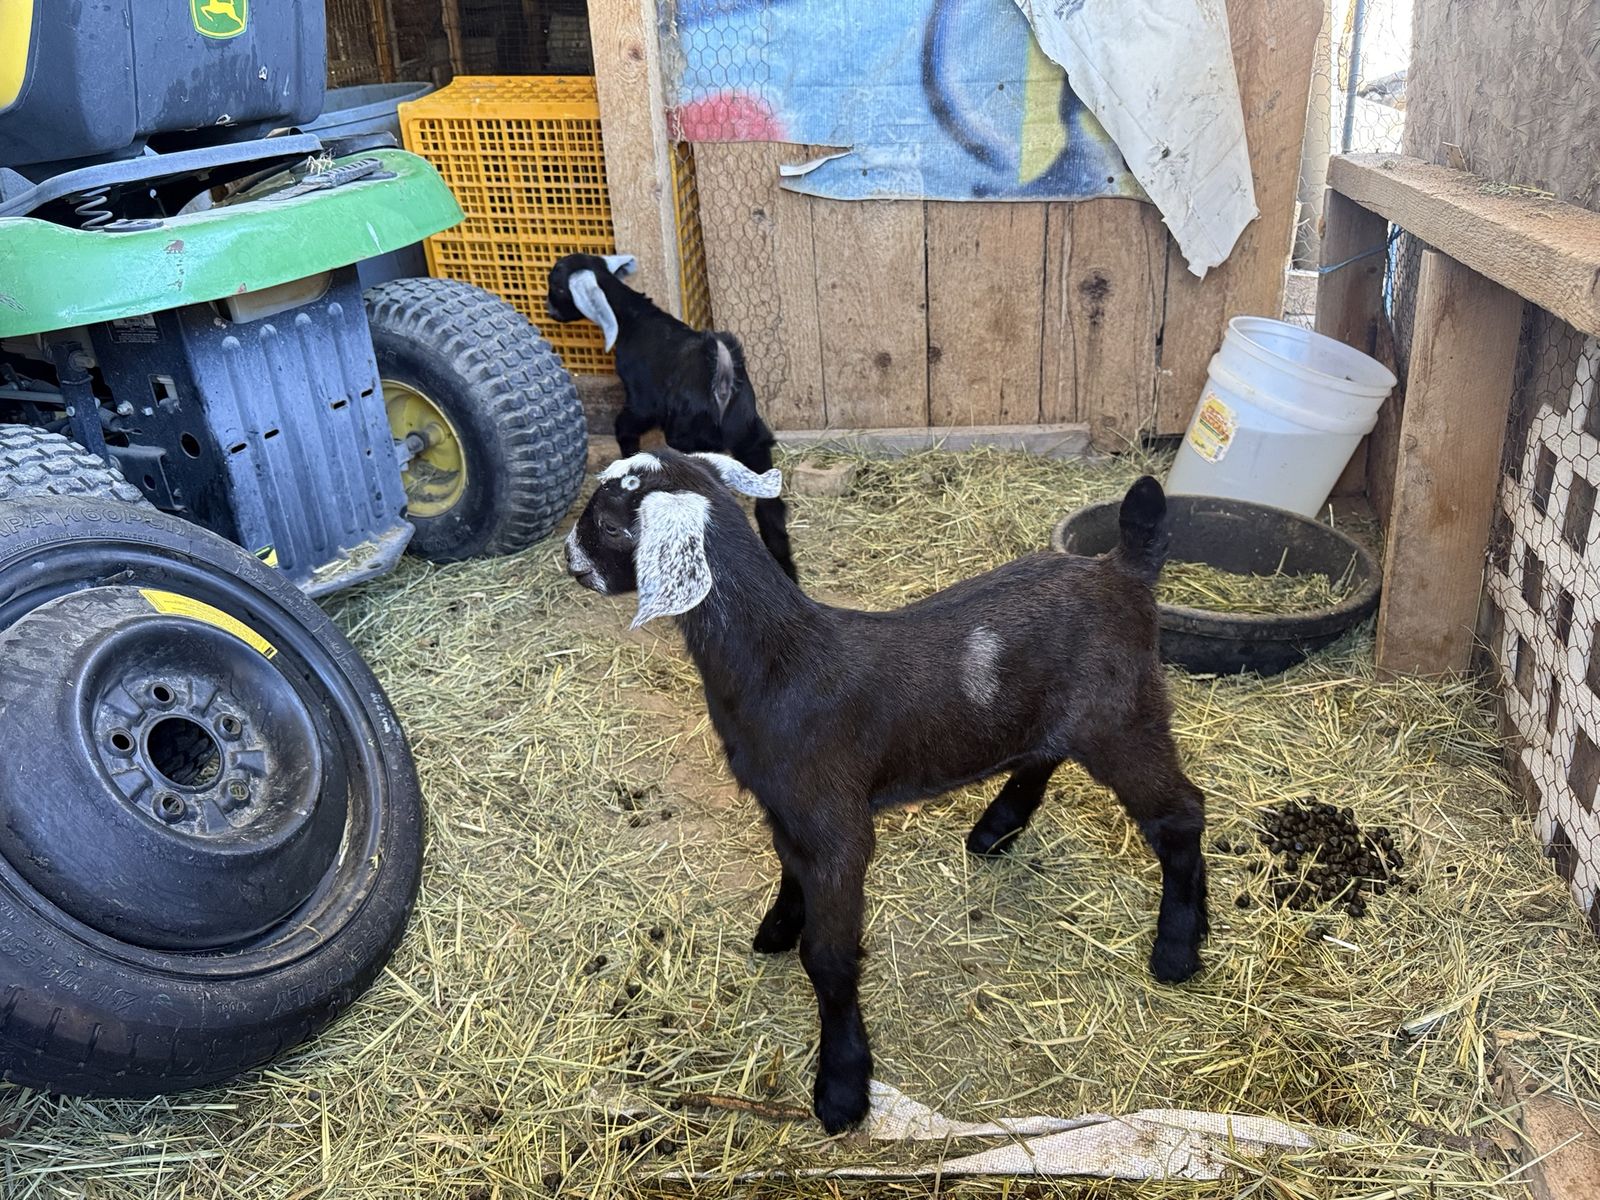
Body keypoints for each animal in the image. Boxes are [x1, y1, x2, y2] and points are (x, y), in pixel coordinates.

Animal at [544, 253, 797, 581]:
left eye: (558, 286)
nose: (548, 310)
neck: (633, 319)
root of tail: (723, 377)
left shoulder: (642, 401)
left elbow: (623, 426)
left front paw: (627, 459)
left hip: (688, 434)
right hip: (751, 437)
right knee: (770, 509)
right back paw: (786, 569)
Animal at [563, 448, 1209, 1134]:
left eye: (610, 526)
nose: (571, 564)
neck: (780, 663)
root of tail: (1123, 568)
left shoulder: (836, 824)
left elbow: (829, 957)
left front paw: (843, 1085)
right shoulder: (791, 811)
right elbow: (790, 873)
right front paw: (777, 929)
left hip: (1124, 715)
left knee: (1181, 813)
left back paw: (1177, 946)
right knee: (1048, 753)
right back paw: (999, 829)